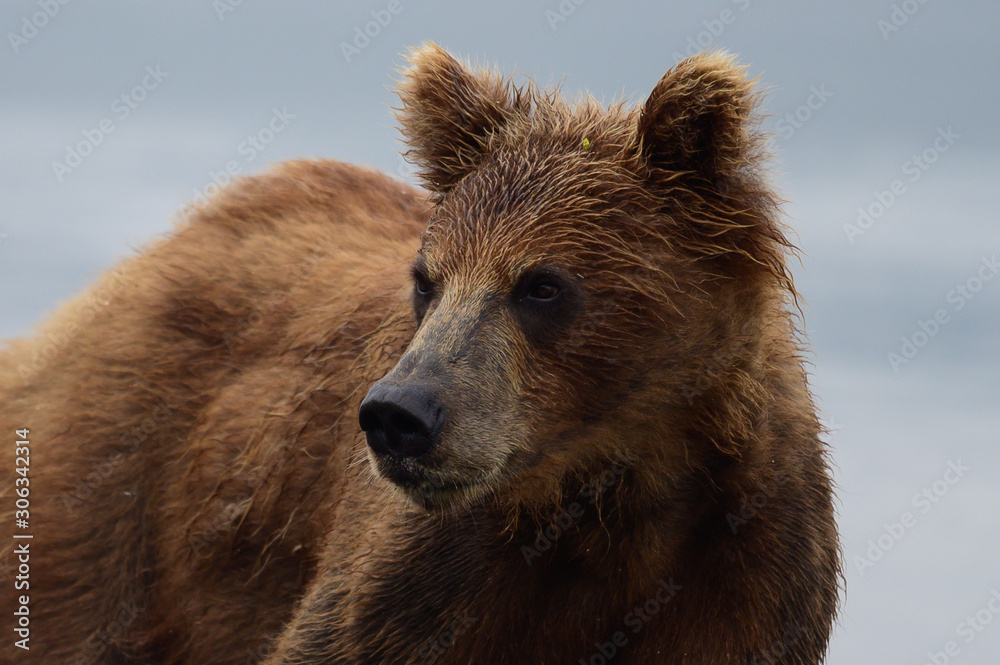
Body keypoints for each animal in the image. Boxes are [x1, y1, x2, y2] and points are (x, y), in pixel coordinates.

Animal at [0, 44, 840, 664]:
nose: (398, 415)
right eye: (426, 279)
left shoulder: (747, 570)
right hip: (109, 514)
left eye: (542, 284)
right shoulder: (416, 584)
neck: (608, 494)